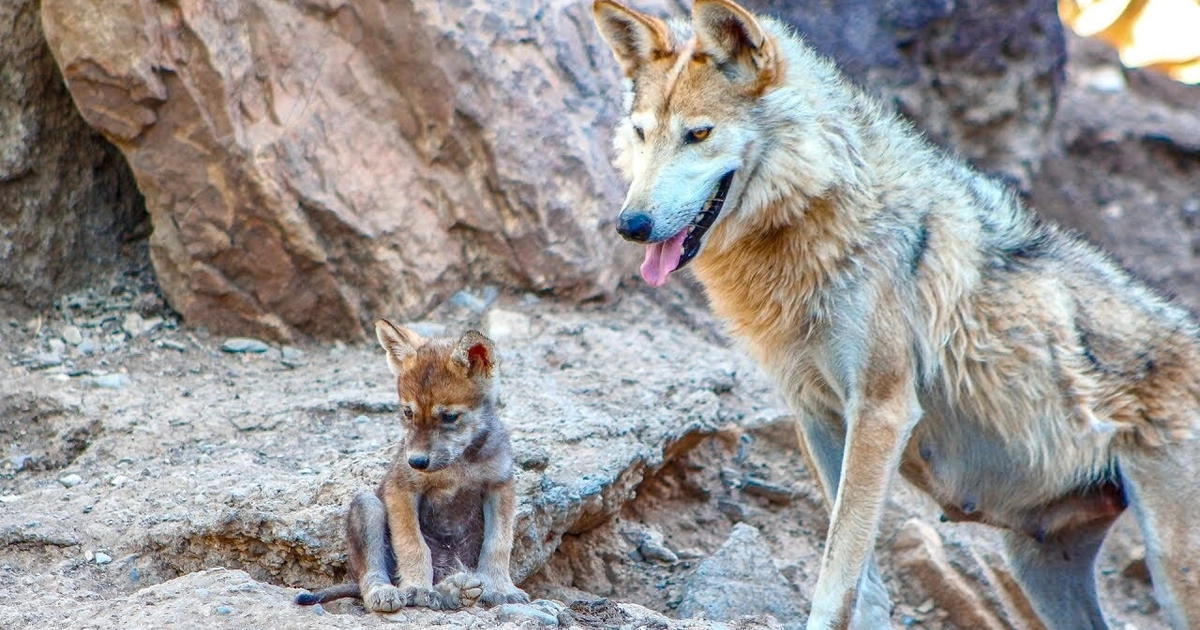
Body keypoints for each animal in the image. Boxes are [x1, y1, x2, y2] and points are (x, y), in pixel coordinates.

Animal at [295, 320, 529, 611]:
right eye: (408, 413)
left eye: (450, 417)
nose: (416, 461)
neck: (458, 465)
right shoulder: (402, 489)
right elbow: (413, 544)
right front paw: (417, 587)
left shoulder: (500, 486)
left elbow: (498, 544)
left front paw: (501, 588)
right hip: (367, 506)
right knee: (371, 575)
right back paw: (387, 592)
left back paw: (456, 589)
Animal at [592, 1, 1200, 628]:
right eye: (642, 133)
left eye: (699, 133)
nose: (631, 225)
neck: (823, 217)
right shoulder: (816, 415)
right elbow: (862, 582)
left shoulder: (882, 410)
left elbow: (839, 567)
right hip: (1039, 570)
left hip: (1172, 570)